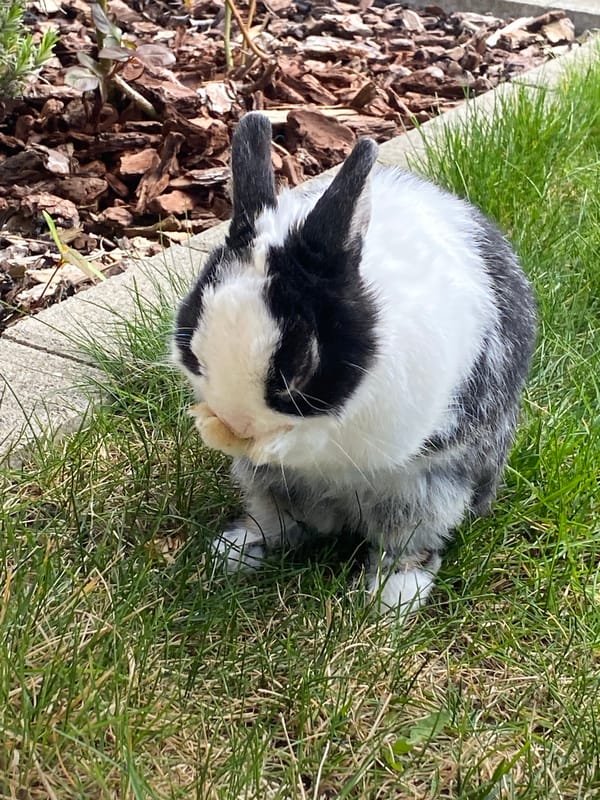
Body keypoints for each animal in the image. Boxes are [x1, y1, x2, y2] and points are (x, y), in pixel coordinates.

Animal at [172, 112, 536, 617]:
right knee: (281, 523)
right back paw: (235, 553)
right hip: (269, 488)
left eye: (301, 365)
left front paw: (265, 441)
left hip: (427, 492)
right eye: (191, 340)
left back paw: (390, 604)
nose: (237, 424)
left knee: (410, 544)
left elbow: (311, 438)